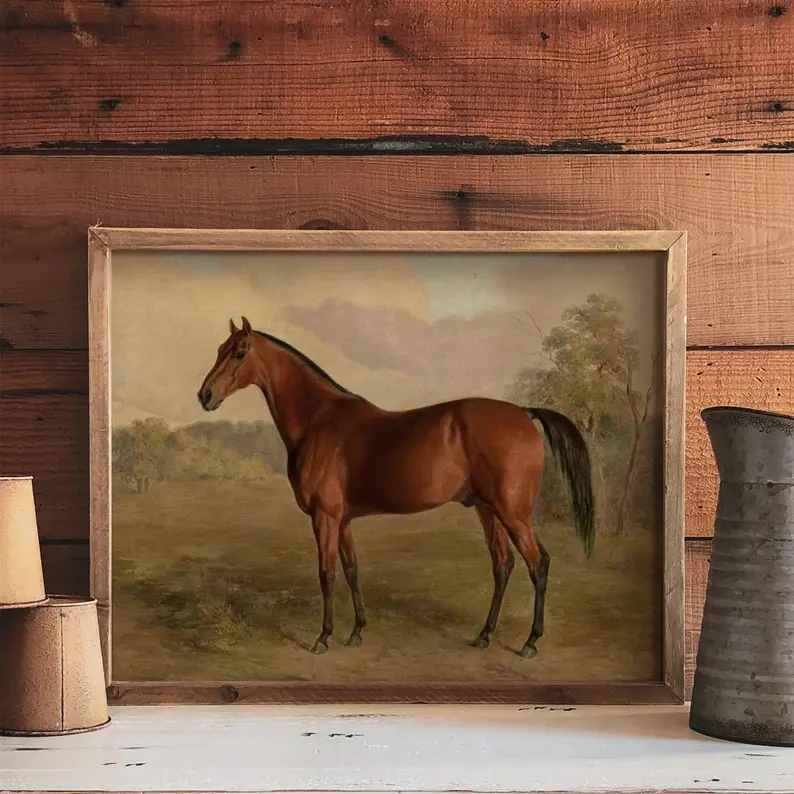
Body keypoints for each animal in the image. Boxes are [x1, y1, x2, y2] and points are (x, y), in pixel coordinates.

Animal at [197, 316, 595, 658]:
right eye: (218, 349)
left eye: (239, 353)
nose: (205, 395)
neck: (318, 420)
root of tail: (523, 412)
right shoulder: (342, 520)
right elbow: (351, 570)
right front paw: (356, 631)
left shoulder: (325, 517)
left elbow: (326, 573)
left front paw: (323, 637)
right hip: (490, 510)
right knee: (503, 565)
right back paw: (484, 635)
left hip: (513, 512)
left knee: (537, 563)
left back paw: (530, 642)